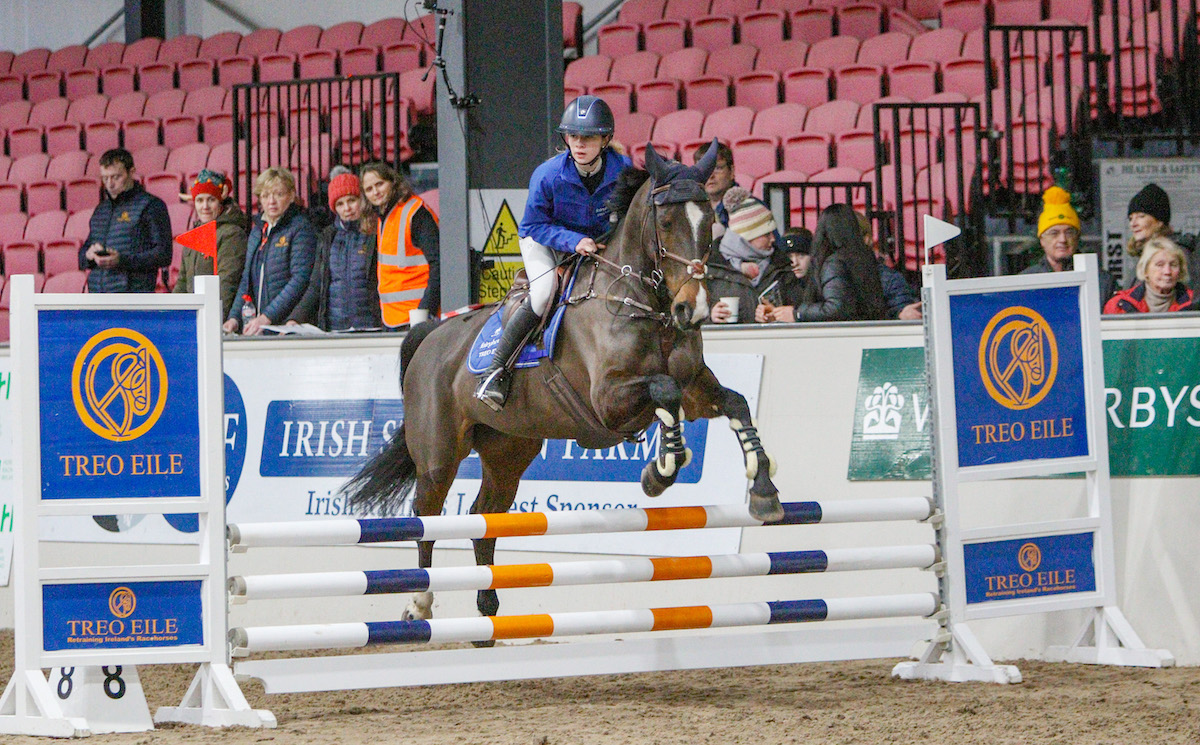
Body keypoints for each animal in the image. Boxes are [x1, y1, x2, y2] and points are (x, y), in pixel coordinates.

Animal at [343, 143, 782, 628]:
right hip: (439, 454)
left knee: (483, 517)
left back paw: (487, 610)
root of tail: (432, 335)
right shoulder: (609, 399)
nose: (694, 309)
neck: (643, 303)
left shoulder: (695, 387)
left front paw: (764, 490)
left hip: (509, 449)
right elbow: (663, 392)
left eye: (710, 222)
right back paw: (420, 604)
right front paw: (660, 472)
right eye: (666, 222)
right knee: (429, 517)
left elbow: (733, 403)